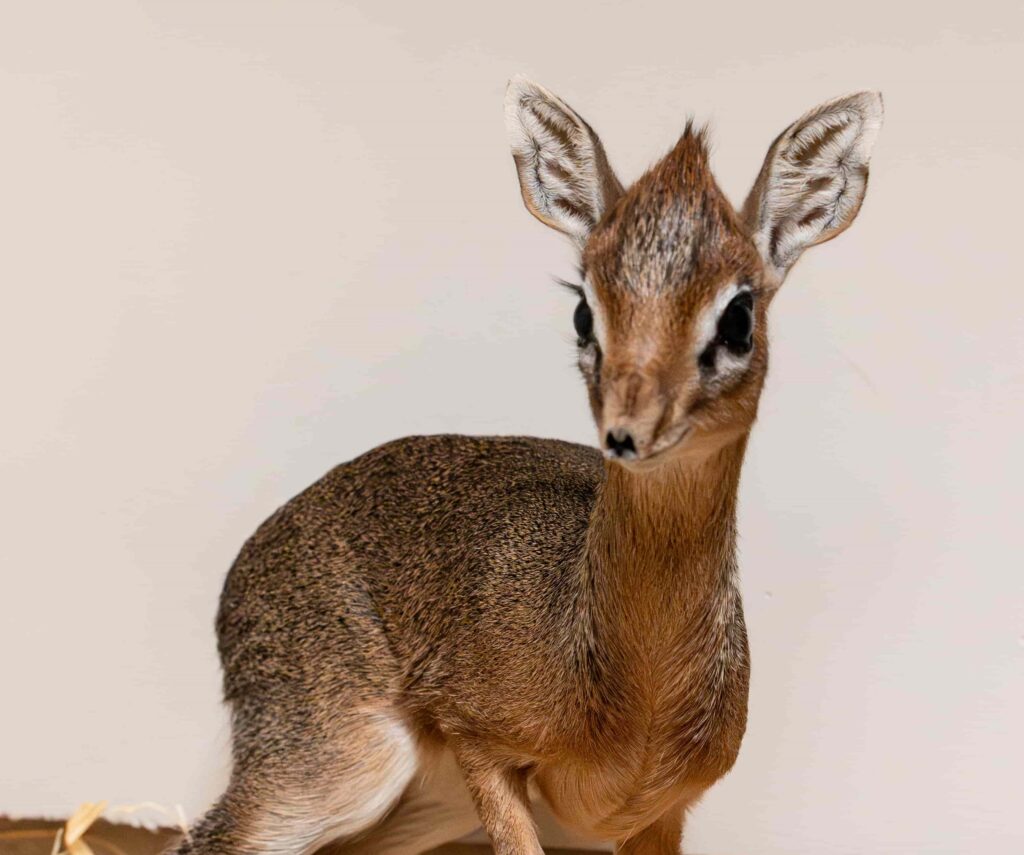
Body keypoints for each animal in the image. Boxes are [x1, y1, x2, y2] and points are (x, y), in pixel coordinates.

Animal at [170, 78, 882, 855]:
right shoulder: (482, 748)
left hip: (415, 804)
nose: (627, 431)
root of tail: (240, 575)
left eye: (738, 317)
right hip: (339, 768)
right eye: (583, 311)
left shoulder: (663, 812)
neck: (635, 700)